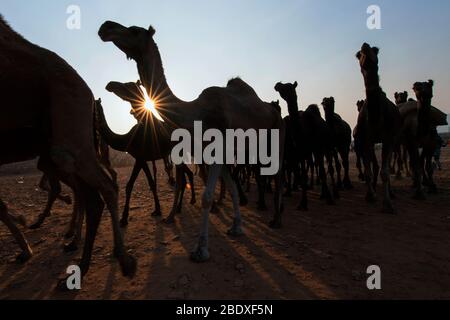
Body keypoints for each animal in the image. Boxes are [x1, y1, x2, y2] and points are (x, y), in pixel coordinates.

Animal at [0, 15, 135, 278]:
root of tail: (88, 91)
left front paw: (25, 244)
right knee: (89, 189)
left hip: (69, 134)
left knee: (103, 187)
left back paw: (117, 257)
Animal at [99, 20, 284, 262]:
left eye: (134, 30)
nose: (105, 27)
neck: (195, 114)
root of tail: (271, 108)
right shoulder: (213, 154)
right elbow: (228, 187)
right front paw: (235, 228)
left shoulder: (218, 149)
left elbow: (207, 196)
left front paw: (201, 250)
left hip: (275, 137)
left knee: (279, 174)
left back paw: (277, 219)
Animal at [272, 80, 336, 210]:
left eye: (287, 86)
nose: (277, 84)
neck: (302, 131)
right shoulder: (300, 152)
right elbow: (301, 173)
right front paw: (302, 203)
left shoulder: (317, 149)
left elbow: (320, 171)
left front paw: (329, 199)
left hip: (324, 148)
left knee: (323, 167)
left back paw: (328, 194)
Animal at [356, 42, 400, 212]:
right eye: (358, 54)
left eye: (376, 50)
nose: (365, 45)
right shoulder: (366, 139)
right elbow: (369, 171)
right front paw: (370, 195)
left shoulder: (388, 137)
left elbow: (385, 172)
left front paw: (387, 204)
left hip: (393, 138)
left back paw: (392, 193)